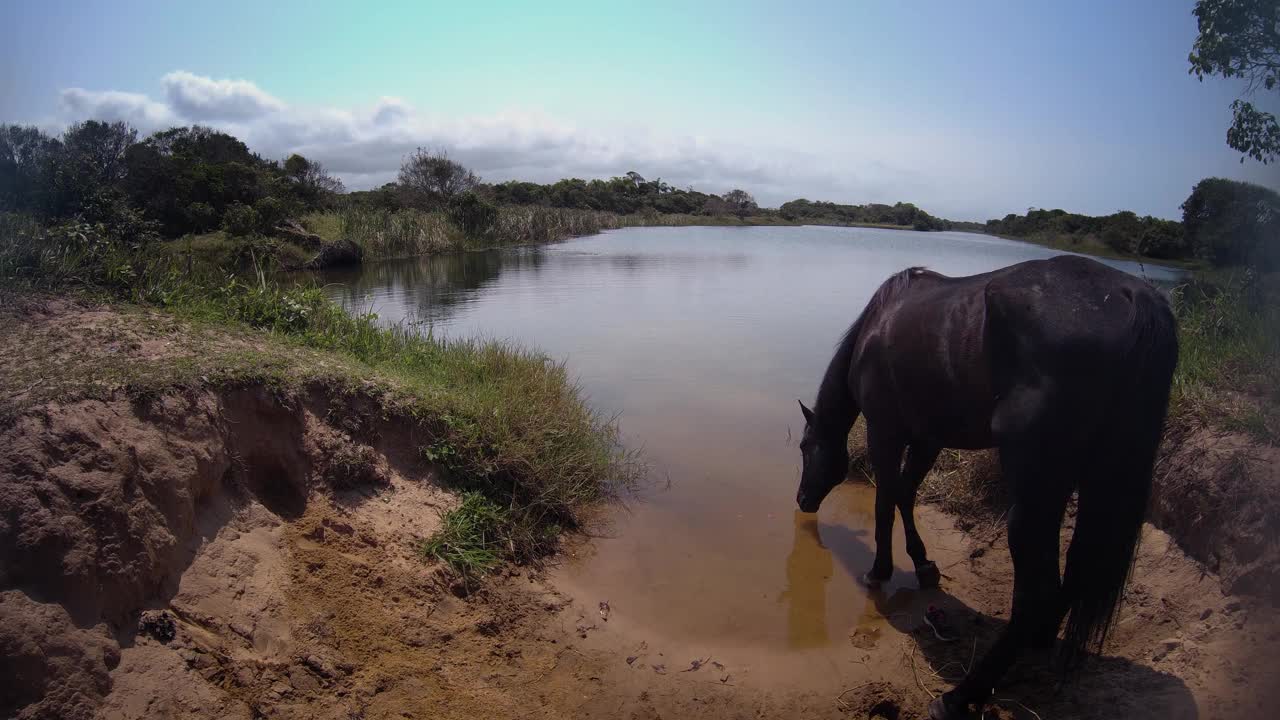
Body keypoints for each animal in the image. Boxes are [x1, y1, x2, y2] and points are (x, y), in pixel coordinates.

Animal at [793, 254, 1172, 712]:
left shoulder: (887, 431)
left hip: (1032, 490)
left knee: (1036, 593)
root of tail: (1133, 297)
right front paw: (923, 564)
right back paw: (1036, 643)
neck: (876, 325)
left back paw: (959, 696)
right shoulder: (928, 438)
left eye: (804, 446)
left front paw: (880, 569)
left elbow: (885, 501)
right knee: (1069, 578)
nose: (802, 499)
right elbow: (906, 494)